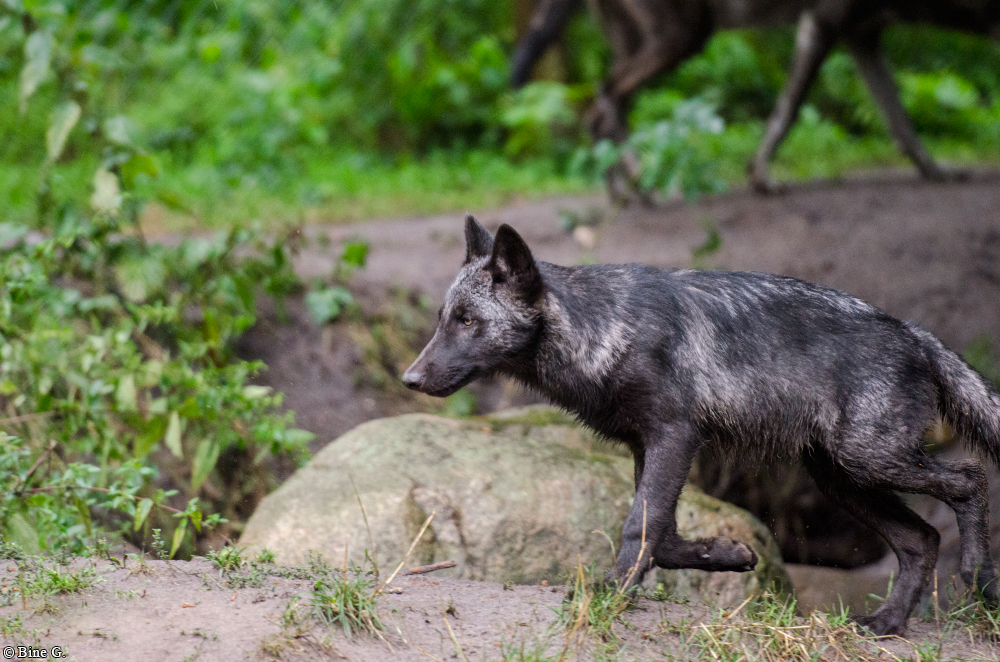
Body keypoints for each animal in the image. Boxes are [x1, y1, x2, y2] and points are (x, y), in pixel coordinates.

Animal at [402, 214, 1000, 636]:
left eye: (468, 321)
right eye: (443, 320)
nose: (410, 378)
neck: (602, 328)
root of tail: (915, 333)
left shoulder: (675, 436)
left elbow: (639, 527)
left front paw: (610, 593)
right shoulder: (646, 446)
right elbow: (663, 536)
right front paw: (730, 555)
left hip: (868, 460)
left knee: (970, 480)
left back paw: (978, 573)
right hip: (843, 479)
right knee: (923, 538)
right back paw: (888, 624)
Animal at [512, 0, 1000, 192]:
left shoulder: (862, 36)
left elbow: (900, 120)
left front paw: (936, 171)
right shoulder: (824, 24)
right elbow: (787, 110)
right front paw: (762, 177)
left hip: (651, 42)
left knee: (600, 109)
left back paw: (628, 191)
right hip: (685, 35)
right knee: (605, 99)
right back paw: (637, 180)